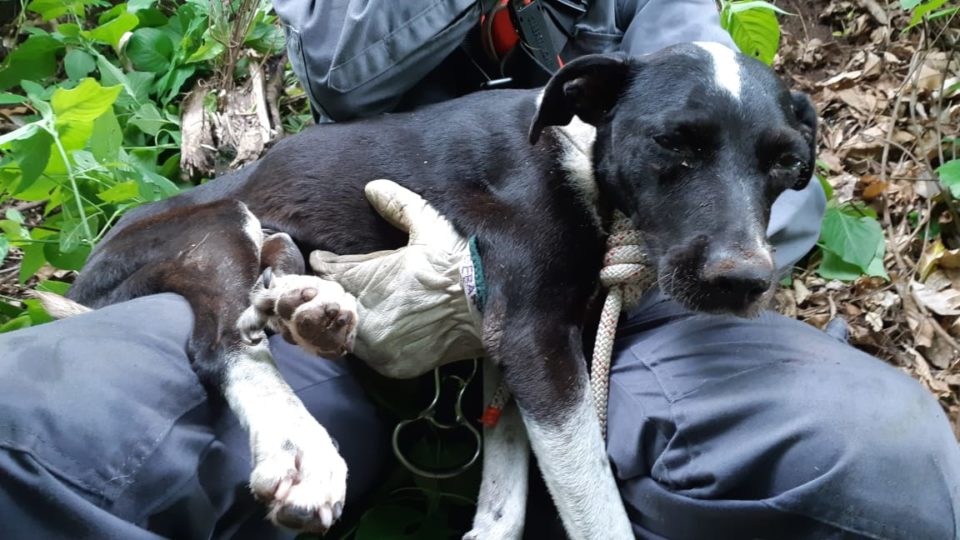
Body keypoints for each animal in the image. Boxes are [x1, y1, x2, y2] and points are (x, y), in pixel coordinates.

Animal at [45, 43, 812, 540]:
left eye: (785, 162)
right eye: (673, 143)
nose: (743, 282)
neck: (579, 156)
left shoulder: (511, 351)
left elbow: (505, 501)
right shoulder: (534, 338)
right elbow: (596, 508)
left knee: (271, 281)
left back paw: (311, 305)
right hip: (210, 225)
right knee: (224, 343)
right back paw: (301, 449)